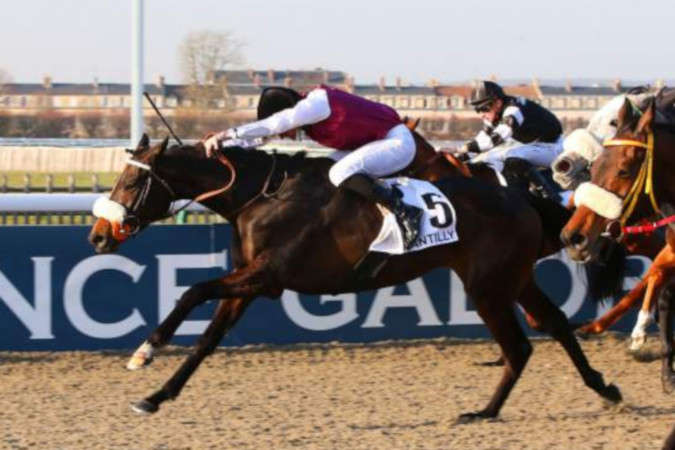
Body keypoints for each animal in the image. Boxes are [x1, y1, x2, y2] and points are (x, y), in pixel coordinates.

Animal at [88, 134, 622, 418]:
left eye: (131, 182)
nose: (97, 236)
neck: (262, 195)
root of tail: (521, 198)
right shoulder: (249, 282)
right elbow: (206, 340)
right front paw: (155, 396)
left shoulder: (267, 277)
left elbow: (192, 291)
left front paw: (145, 352)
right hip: (514, 278)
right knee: (554, 324)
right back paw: (603, 387)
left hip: (487, 285)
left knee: (520, 345)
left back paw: (485, 411)